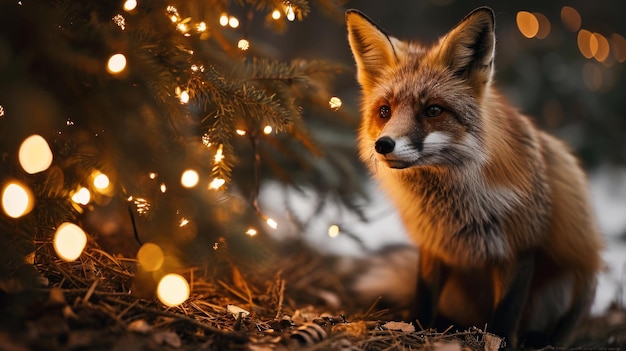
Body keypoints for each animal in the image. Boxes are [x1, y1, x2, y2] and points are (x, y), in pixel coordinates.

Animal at [344, 6, 604, 348]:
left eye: (433, 110)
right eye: (385, 111)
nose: (383, 145)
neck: (454, 209)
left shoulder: (519, 247)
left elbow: (506, 314)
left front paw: (499, 340)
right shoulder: (433, 246)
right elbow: (423, 297)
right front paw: (416, 328)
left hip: (577, 272)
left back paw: (536, 338)